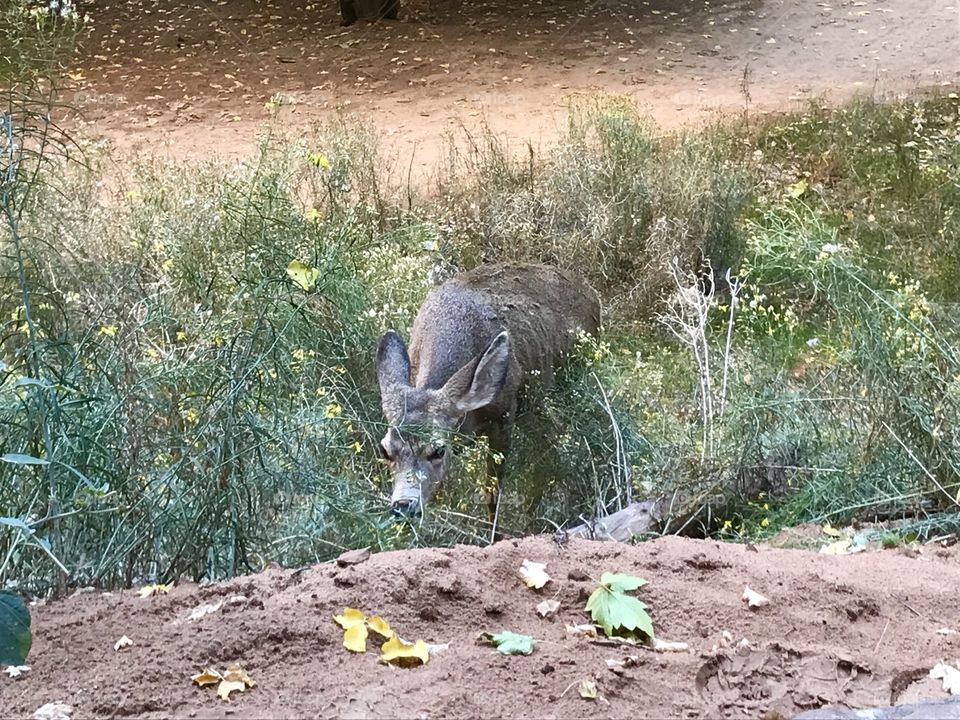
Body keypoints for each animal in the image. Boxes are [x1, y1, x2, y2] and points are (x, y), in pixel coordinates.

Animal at [375, 262, 601, 520]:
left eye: (438, 450)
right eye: (385, 450)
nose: (403, 506)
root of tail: (592, 293)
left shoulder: (504, 415)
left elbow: (492, 493)